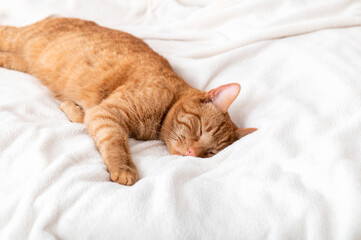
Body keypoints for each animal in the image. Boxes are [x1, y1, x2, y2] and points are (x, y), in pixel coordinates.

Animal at [0, 17, 256, 186]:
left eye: (210, 153)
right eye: (200, 129)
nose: (193, 153)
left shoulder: (98, 112)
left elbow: (83, 115)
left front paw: (73, 109)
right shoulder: (108, 114)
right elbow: (116, 143)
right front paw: (123, 169)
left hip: (24, 62)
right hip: (16, 39)